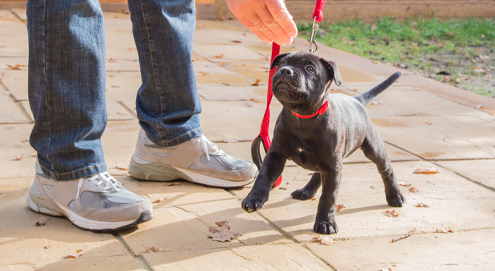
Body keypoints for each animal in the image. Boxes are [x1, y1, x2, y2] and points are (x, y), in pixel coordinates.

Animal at [241, 51, 406, 236]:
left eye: (310, 69)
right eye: (283, 63)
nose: (285, 71)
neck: (303, 117)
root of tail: (356, 100)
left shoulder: (333, 166)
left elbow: (329, 195)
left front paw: (326, 222)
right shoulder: (276, 154)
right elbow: (263, 176)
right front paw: (254, 198)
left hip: (372, 147)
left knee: (386, 169)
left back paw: (395, 195)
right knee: (318, 173)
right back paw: (306, 190)